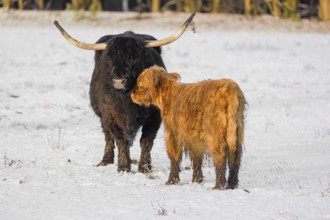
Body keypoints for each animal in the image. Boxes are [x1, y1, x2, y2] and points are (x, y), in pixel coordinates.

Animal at [53, 13, 195, 174]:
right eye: (109, 59)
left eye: (134, 59)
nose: (119, 81)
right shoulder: (110, 115)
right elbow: (121, 140)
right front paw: (123, 166)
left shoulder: (154, 117)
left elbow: (146, 140)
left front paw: (144, 167)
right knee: (108, 137)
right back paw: (105, 160)